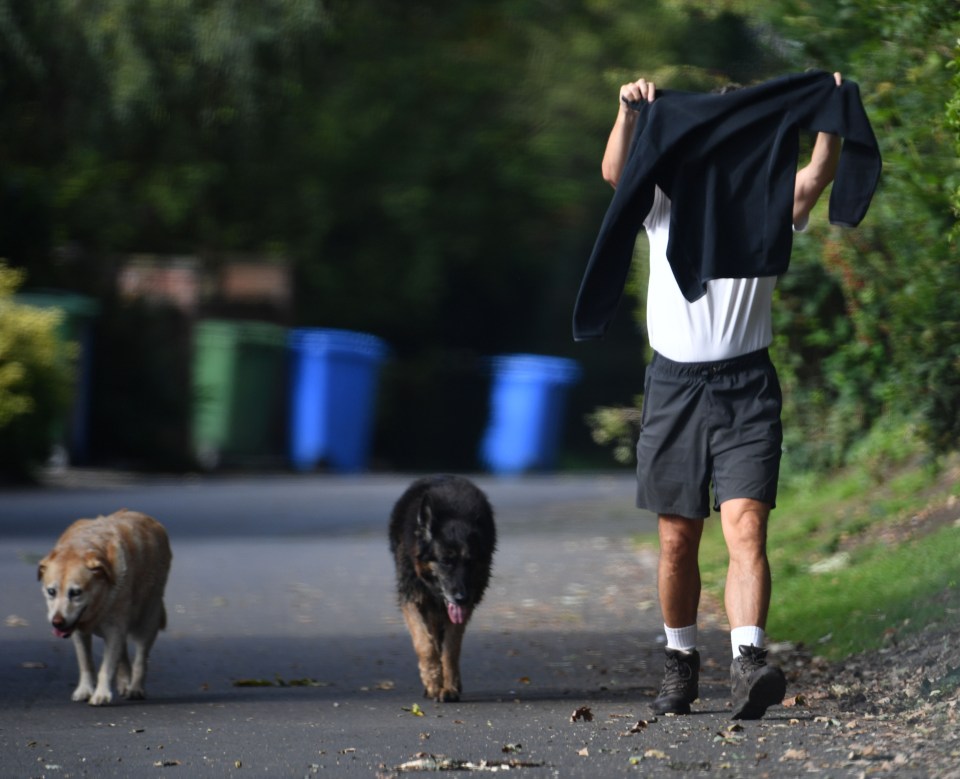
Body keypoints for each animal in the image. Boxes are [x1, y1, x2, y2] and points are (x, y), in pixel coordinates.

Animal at [388, 472, 496, 704]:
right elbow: (424, 644)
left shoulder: (464, 606)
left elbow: (451, 648)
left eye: (470, 562)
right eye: (446, 561)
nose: (461, 597)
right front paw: (432, 682)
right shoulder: (411, 599)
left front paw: (449, 686)